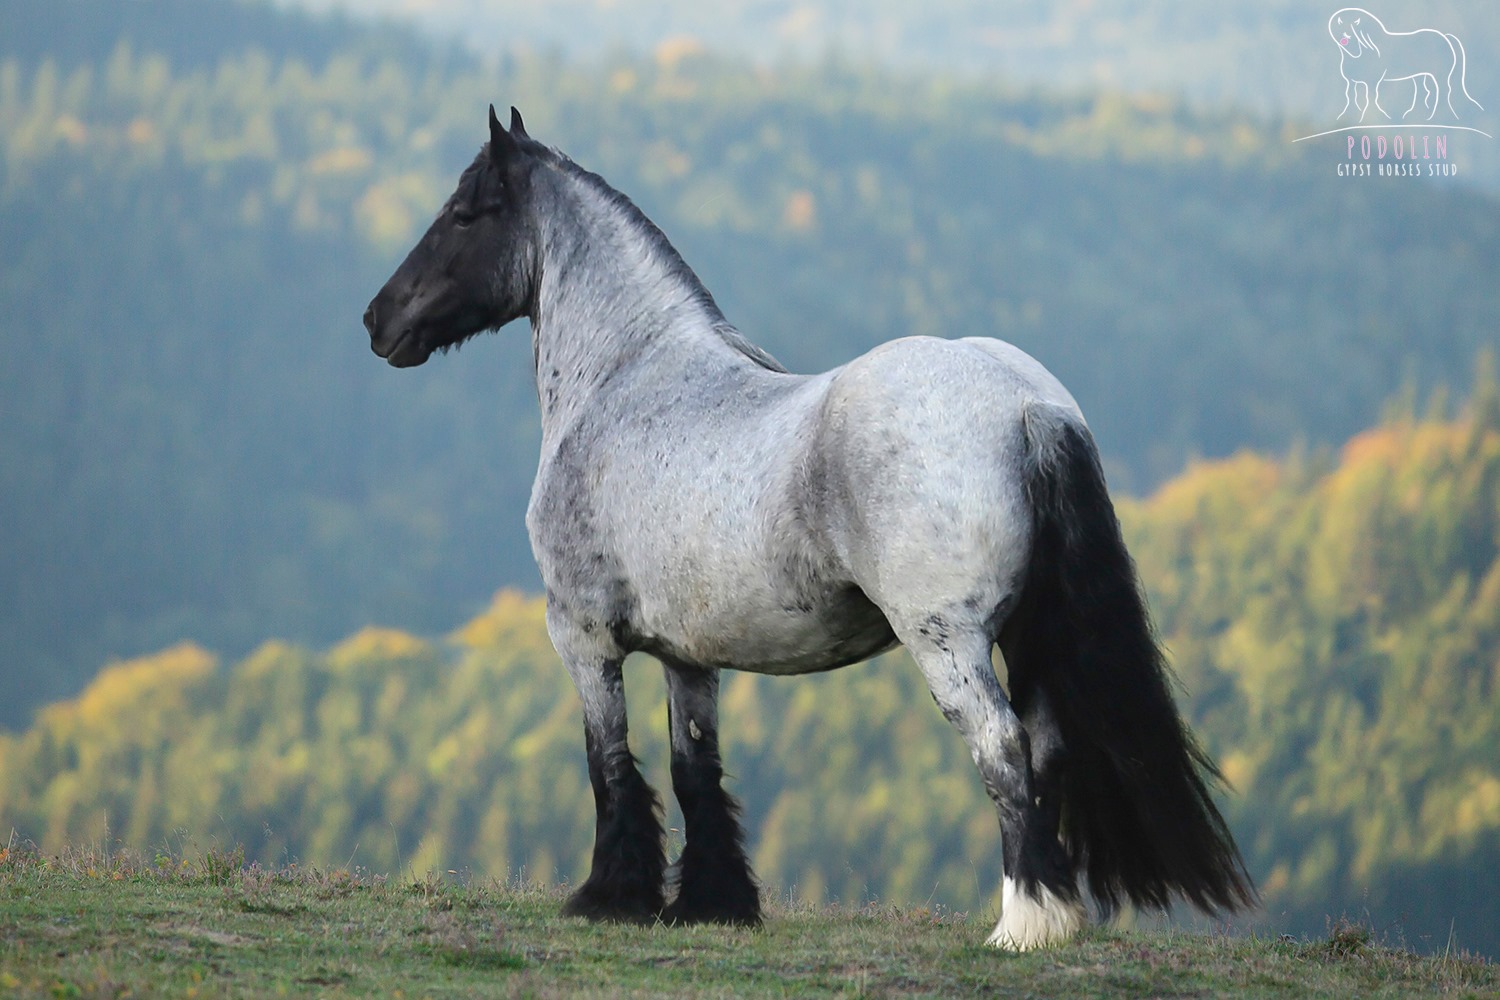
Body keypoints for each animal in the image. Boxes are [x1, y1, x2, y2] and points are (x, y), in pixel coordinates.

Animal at [363, 105, 1254, 953]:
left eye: (464, 214)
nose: (378, 320)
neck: (628, 378)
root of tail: (1026, 405)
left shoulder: (581, 636)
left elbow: (609, 762)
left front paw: (611, 898)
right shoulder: (690, 657)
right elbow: (695, 769)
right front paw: (713, 904)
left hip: (950, 644)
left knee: (1004, 750)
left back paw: (1025, 924)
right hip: (1026, 636)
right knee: (1047, 747)